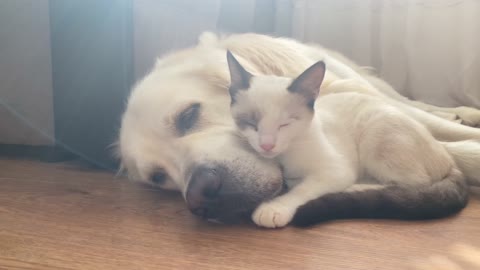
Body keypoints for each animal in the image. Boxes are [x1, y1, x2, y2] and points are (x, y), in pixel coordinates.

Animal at [227, 50, 464, 228]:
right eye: (251, 123)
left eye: (285, 124)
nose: (267, 145)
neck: (284, 158)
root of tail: (449, 159)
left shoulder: (334, 170)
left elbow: (302, 189)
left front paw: (274, 207)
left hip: (376, 132)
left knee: (411, 185)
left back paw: (353, 189)